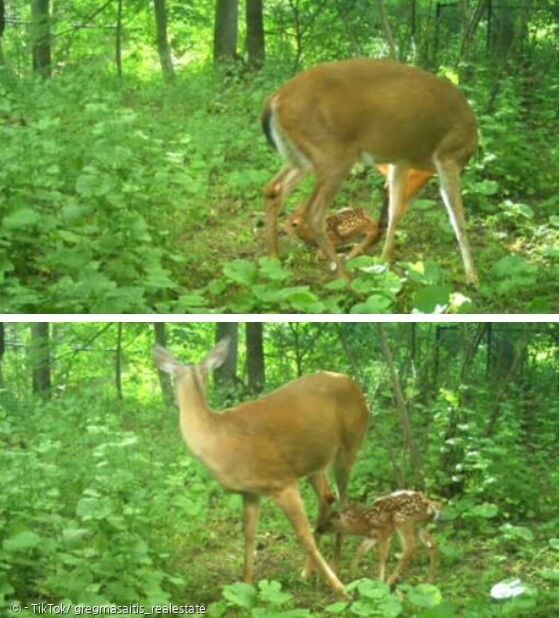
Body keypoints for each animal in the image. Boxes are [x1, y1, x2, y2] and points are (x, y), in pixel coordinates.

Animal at [154, 336, 372, 596]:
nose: (172, 401)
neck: (218, 440)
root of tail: (353, 385)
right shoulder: (250, 491)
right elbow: (249, 534)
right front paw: (246, 586)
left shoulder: (282, 482)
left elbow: (303, 536)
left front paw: (341, 592)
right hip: (314, 462)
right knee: (327, 498)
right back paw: (307, 572)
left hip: (350, 446)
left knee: (344, 503)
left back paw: (336, 569)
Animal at [264, 57, 482, 284]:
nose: (379, 224)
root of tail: (275, 100)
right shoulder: (449, 156)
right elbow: (458, 219)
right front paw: (472, 277)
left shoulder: (400, 161)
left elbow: (396, 211)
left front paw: (384, 261)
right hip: (333, 155)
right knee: (313, 212)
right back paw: (344, 276)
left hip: (303, 157)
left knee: (273, 189)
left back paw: (274, 260)